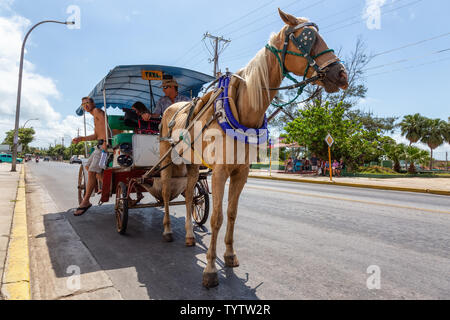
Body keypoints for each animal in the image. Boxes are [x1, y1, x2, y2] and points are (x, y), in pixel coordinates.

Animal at [159, 8, 352, 288]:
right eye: (307, 38)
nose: (342, 74)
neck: (243, 108)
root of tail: (172, 108)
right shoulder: (220, 172)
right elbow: (216, 218)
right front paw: (210, 269)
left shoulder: (241, 172)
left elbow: (231, 213)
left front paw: (229, 255)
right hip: (166, 160)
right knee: (165, 193)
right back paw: (166, 230)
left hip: (192, 163)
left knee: (188, 195)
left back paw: (188, 236)